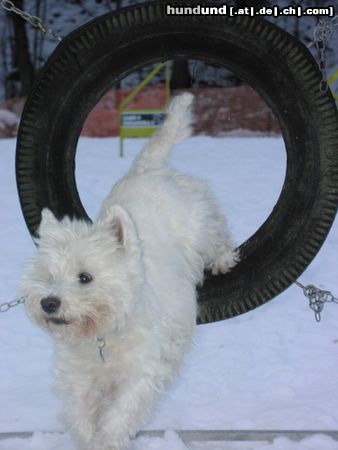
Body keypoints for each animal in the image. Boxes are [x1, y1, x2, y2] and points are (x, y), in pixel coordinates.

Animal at [21, 92, 238, 450]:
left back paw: (222, 260)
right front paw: (88, 440)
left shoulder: (142, 371)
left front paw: (109, 441)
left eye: (85, 277)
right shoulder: (79, 377)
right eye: (49, 277)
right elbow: (81, 415)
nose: (49, 303)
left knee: (218, 234)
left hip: (201, 223)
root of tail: (148, 167)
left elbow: (119, 414)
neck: (104, 336)